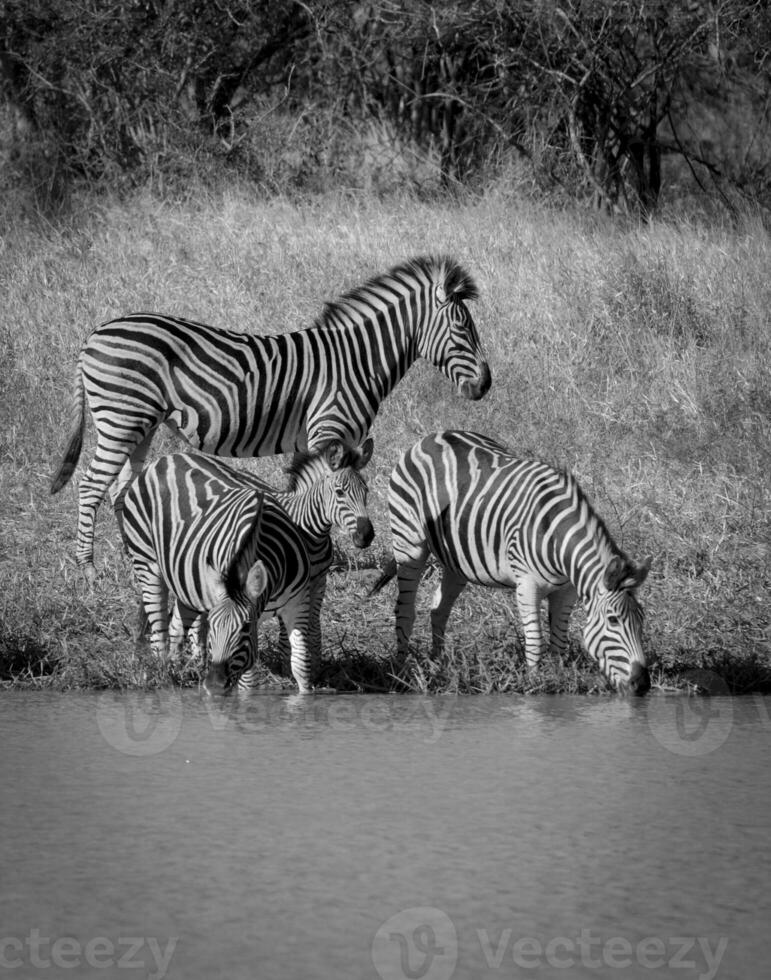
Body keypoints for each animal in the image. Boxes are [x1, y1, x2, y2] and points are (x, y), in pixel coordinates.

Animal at [51, 253, 492, 580]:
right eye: (462, 329)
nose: (485, 385)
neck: (357, 360)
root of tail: (94, 335)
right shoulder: (328, 428)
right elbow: (320, 485)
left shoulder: (331, 438)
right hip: (121, 417)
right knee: (90, 486)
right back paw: (88, 569)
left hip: (140, 425)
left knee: (120, 490)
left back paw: (137, 557)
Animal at [123, 440, 374, 692]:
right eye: (340, 492)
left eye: (367, 492)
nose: (366, 535)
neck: (310, 531)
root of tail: (166, 458)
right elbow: (283, 641)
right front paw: (286, 670)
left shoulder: (316, 582)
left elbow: (312, 630)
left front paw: (312, 670)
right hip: (148, 561)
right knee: (160, 623)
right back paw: (166, 673)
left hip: (187, 575)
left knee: (178, 622)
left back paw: (187, 667)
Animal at [370, 430, 656, 696]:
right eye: (613, 620)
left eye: (641, 619)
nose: (642, 685)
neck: (557, 538)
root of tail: (433, 436)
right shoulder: (527, 584)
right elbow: (536, 639)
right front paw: (535, 684)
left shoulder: (566, 591)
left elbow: (559, 640)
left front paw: (558, 680)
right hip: (409, 542)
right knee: (405, 609)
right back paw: (401, 669)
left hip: (457, 560)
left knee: (439, 608)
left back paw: (437, 663)